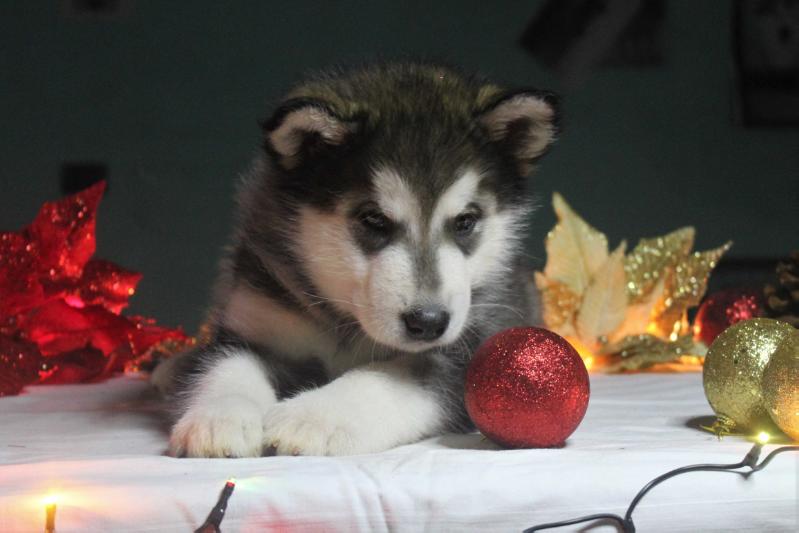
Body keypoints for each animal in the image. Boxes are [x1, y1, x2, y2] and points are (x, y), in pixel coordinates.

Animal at [166, 61, 560, 454]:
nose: (429, 322)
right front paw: (218, 418)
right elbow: (226, 368)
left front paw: (315, 418)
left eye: (465, 221)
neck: (346, 324)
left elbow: (387, 376)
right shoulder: (254, 324)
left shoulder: (471, 350)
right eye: (373, 219)